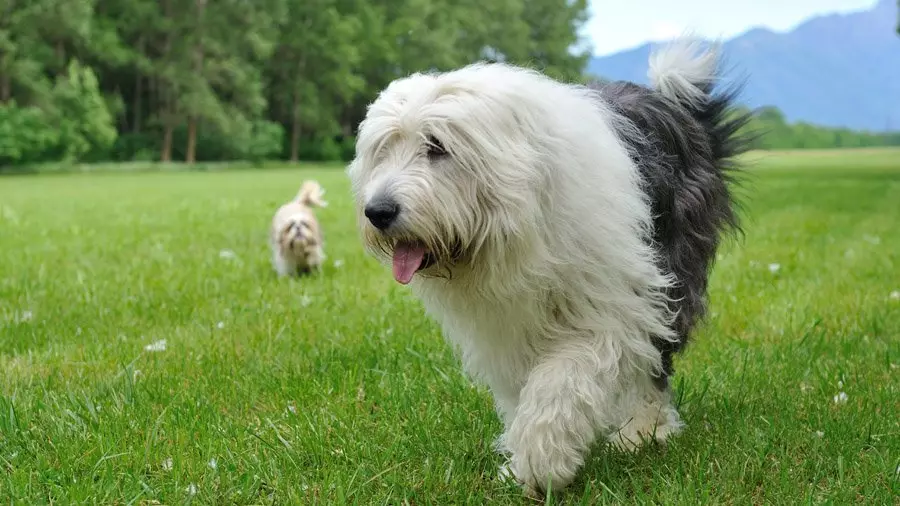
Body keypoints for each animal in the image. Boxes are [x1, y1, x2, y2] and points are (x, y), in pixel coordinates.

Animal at [344, 38, 752, 494]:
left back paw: (644, 429)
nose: (378, 211)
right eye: (383, 150)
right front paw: (526, 459)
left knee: (653, 364)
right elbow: (524, 388)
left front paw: (540, 461)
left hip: (670, 276)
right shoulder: (505, 329)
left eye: (437, 146)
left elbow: (562, 380)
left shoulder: (608, 307)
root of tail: (673, 104)